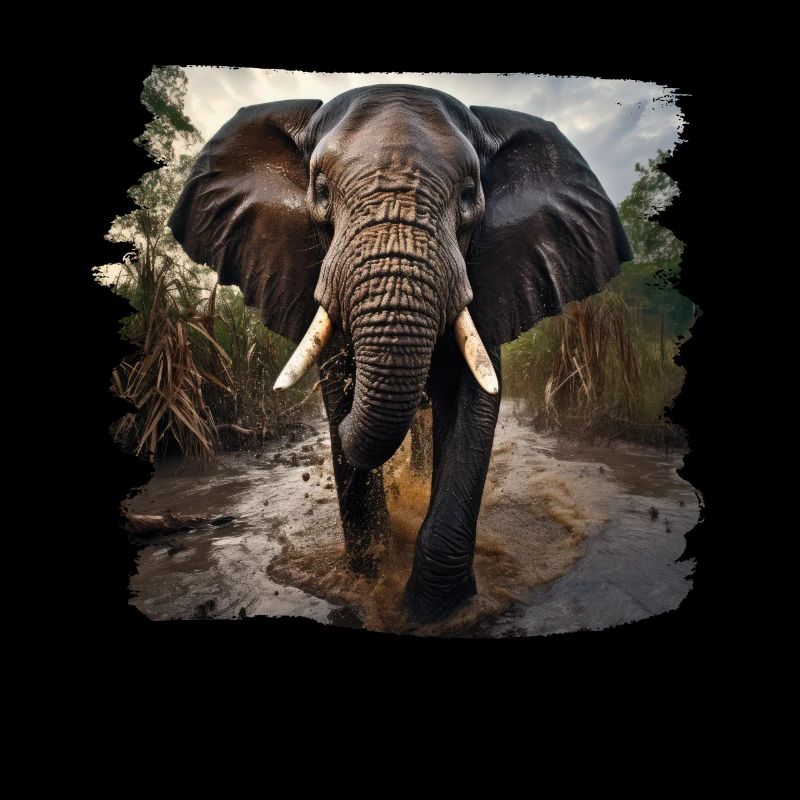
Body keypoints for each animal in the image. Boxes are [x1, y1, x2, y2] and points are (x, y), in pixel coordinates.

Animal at [168, 84, 632, 623]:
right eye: (320, 191)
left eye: (470, 195)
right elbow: (339, 395)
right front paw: (370, 579)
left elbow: (473, 402)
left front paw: (434, 610)